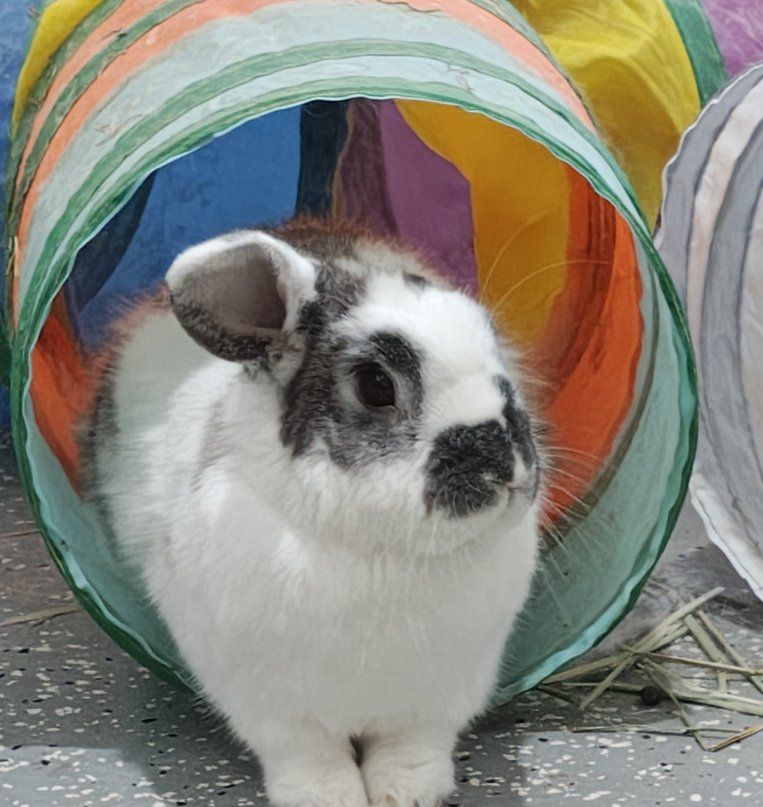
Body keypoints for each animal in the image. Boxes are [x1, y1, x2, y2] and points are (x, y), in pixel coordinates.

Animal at [80, 218, 542, 807]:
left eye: (495, 351)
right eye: (376, 385)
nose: (503, 460)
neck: (382, 551)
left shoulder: (440, 694)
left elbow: (413, 747)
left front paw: (407, 794)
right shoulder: (270, 703)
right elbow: (307, 756)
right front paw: (327, 797)